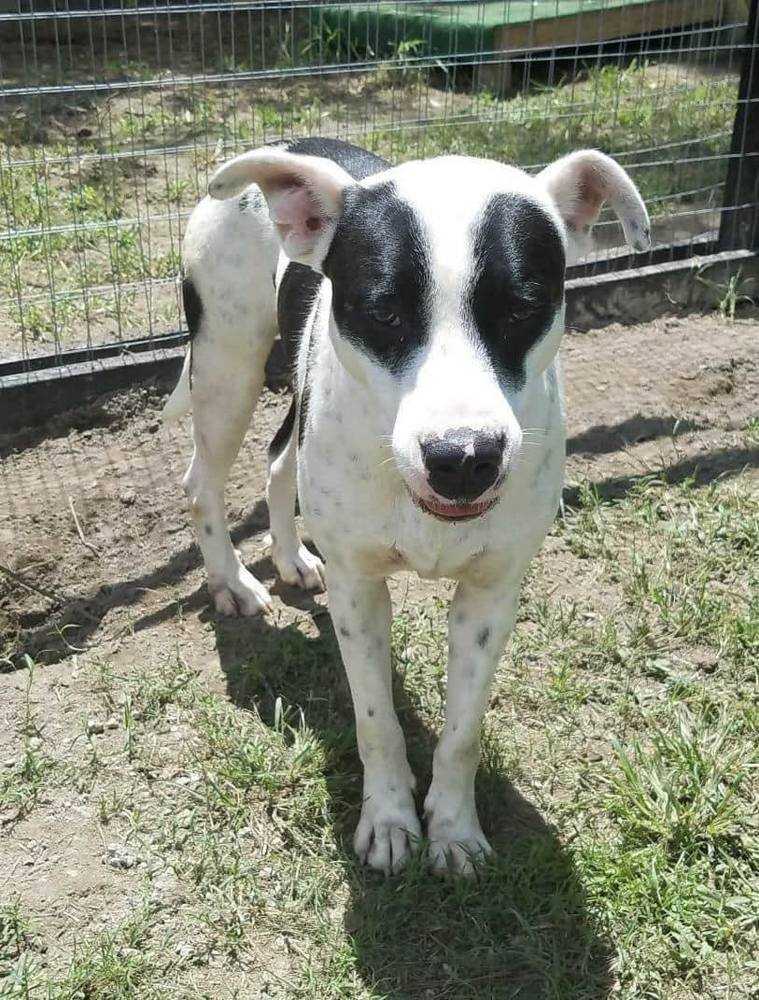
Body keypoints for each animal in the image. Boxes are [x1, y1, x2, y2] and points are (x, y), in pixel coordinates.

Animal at [163, 139, 652, 876]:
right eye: (384, 312)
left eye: (520, 307)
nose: (463, 459)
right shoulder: (359, 590)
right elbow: (376, 723)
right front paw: (390, 821)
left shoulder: (492, 595)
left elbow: (462, 731)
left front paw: (451, 828)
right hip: (226, 363)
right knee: (202, 480)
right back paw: (234, 582)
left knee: (279, 458)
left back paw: (290, 557)